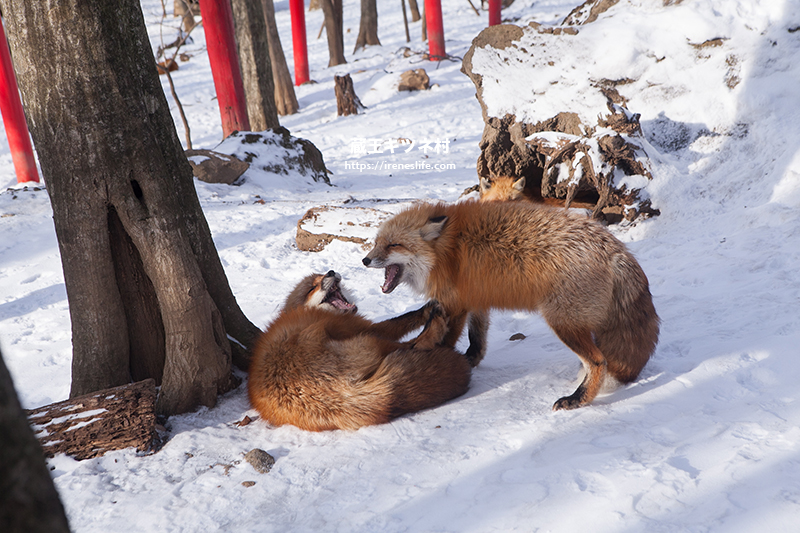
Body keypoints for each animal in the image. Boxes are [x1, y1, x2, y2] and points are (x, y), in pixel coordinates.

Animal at [248, 268, 468, 430]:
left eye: (321, 274)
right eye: (312, 288)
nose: (331, 271)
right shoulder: (363, 326)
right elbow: (399, 321)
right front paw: (427, 310)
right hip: (369, 340)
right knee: (415, 345)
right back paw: (436, 325)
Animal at [364, 202, 664, 410]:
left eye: (394, 245)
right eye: (377, 243)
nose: (365, 260)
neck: (447, 251)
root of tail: (616, 249)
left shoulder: (455, 303)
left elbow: (443, 338)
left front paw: (440, 365)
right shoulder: (476, 298)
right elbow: (477, 339)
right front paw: (468, 361)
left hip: (563, 323)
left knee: (599, 361)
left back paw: (577, 400)